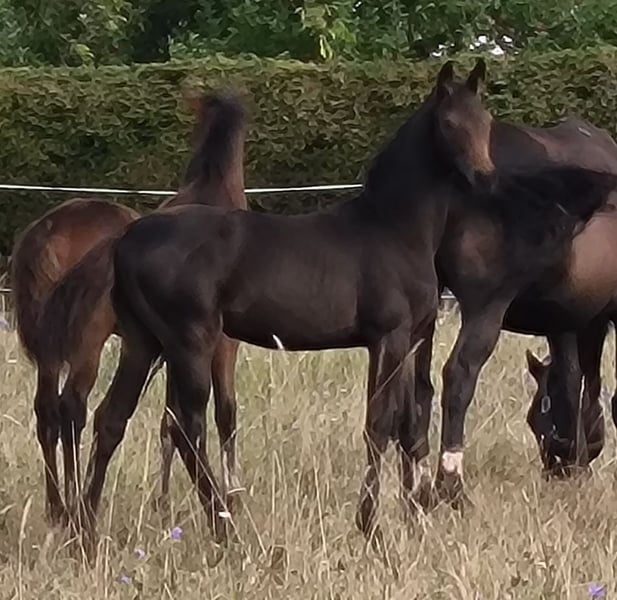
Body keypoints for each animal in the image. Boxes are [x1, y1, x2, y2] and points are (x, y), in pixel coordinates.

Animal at [14, 91, 247, 526]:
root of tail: (48, 230)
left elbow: (171, 420)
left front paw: (165, 501)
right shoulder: (222, 345)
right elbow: (224, 414)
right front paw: (230, 496)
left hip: (52, 349)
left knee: (47, 412)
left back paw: (58, 507)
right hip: (87, 342)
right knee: (73, 408)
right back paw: (74, 506)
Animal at [67, 59, 617, 557]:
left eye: (484, 120)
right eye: (449, 122)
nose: (484, 179)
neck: (393, 228)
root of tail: (126, 239)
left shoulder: (409, 339)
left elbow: (405, 421)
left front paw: (410, 515)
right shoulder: (388, 337)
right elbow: (379, 424)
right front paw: (371, 526)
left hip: (144, 342)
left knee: (111, 418)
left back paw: (86, 535)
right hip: (190, 342)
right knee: (187, 428)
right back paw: (225, 531)